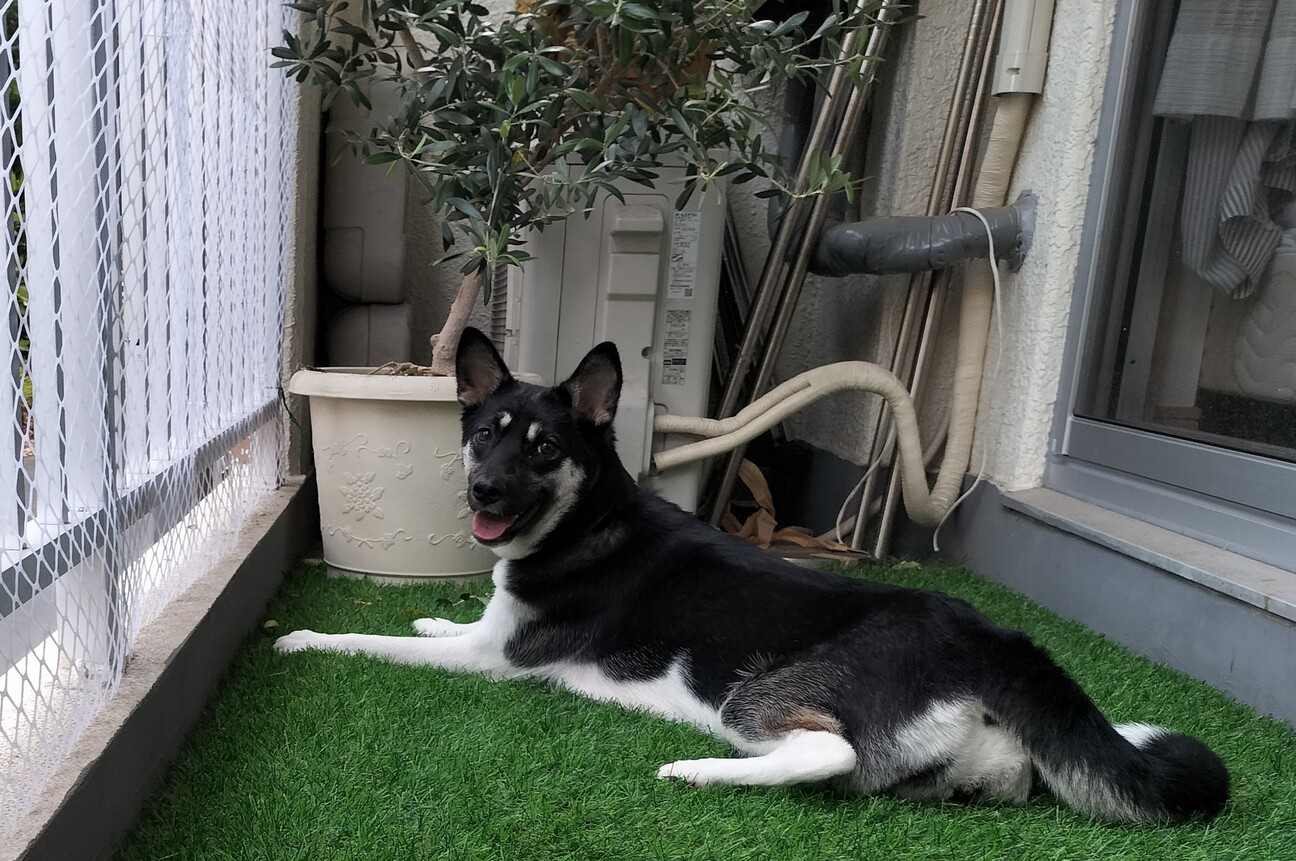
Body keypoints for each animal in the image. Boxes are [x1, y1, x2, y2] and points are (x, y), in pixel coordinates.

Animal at [277, 326, 1229, 823]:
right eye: (485, 435)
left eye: (543, 448)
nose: (482, 489)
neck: (590, 519)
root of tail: (993, 634)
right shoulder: (491, 635)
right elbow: (448, 623)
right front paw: (428, 614)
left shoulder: (495, 662)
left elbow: (369, 639)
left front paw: (305, 635)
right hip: (983, 761)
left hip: (760, 692)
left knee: (826, 749)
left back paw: (699, 769)